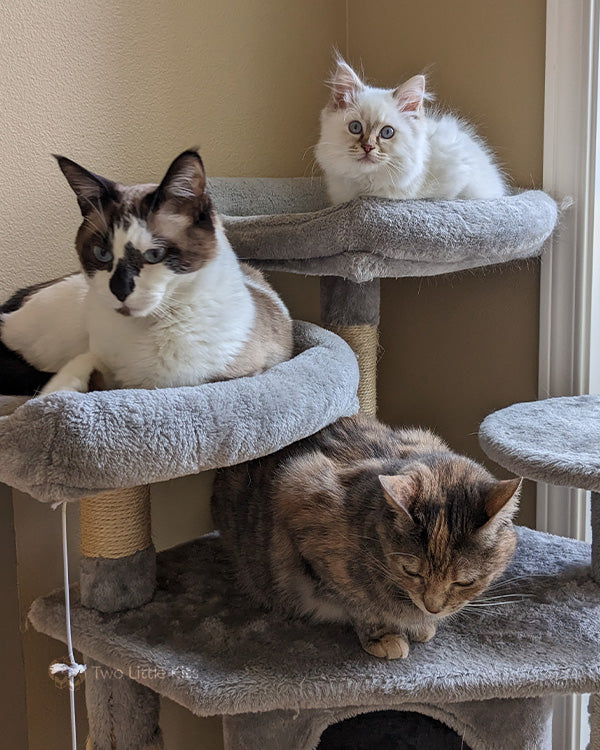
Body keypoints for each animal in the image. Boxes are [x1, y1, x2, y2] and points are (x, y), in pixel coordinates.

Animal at [0, 153, 292, 400]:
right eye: (102, 253)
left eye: (154, 254)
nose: (119, 289)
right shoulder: (98, 359)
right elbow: (72, 376)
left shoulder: (227, 379)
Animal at [211, 414, 520, 660]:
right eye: (411, 571)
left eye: (465, 582)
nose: (432, 608)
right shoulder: (301, 505)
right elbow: (359, 602)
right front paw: (384, 635)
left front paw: (419, 625)